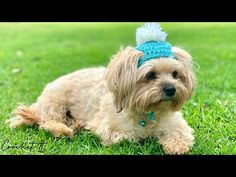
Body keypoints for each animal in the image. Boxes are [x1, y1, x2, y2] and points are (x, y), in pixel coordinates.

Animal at [5, 22, 195, 154]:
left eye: (175, 74)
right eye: (150, 75)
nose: (171, 89)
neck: (148, 112)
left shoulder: (177, 125)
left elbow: (180, 135)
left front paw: (175, 146)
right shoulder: (109, 129)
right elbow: (130, 137)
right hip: (56, 102)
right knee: (46, 122)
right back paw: (64, 129)